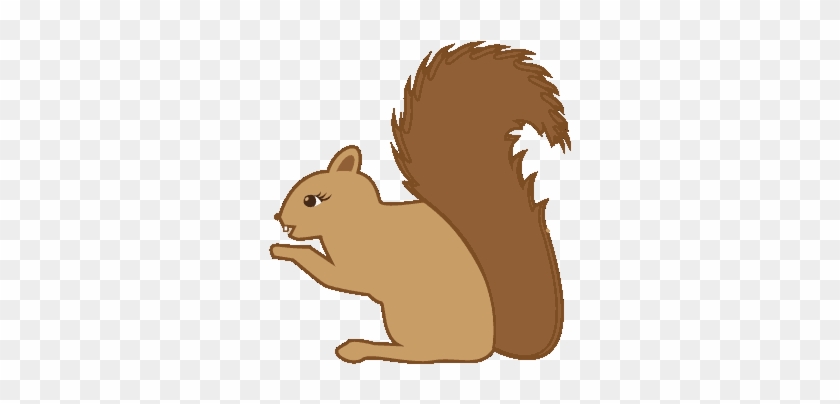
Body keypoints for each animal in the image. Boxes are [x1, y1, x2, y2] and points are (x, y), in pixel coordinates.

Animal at [270, 41, 571, 364]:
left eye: (311, 200)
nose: (279, 218)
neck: (358, 218)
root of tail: (487, 346)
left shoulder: (360, 266)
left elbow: (331, 273)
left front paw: (285, 250)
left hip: (407, 315)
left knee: (421, 353)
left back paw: (360, 347)